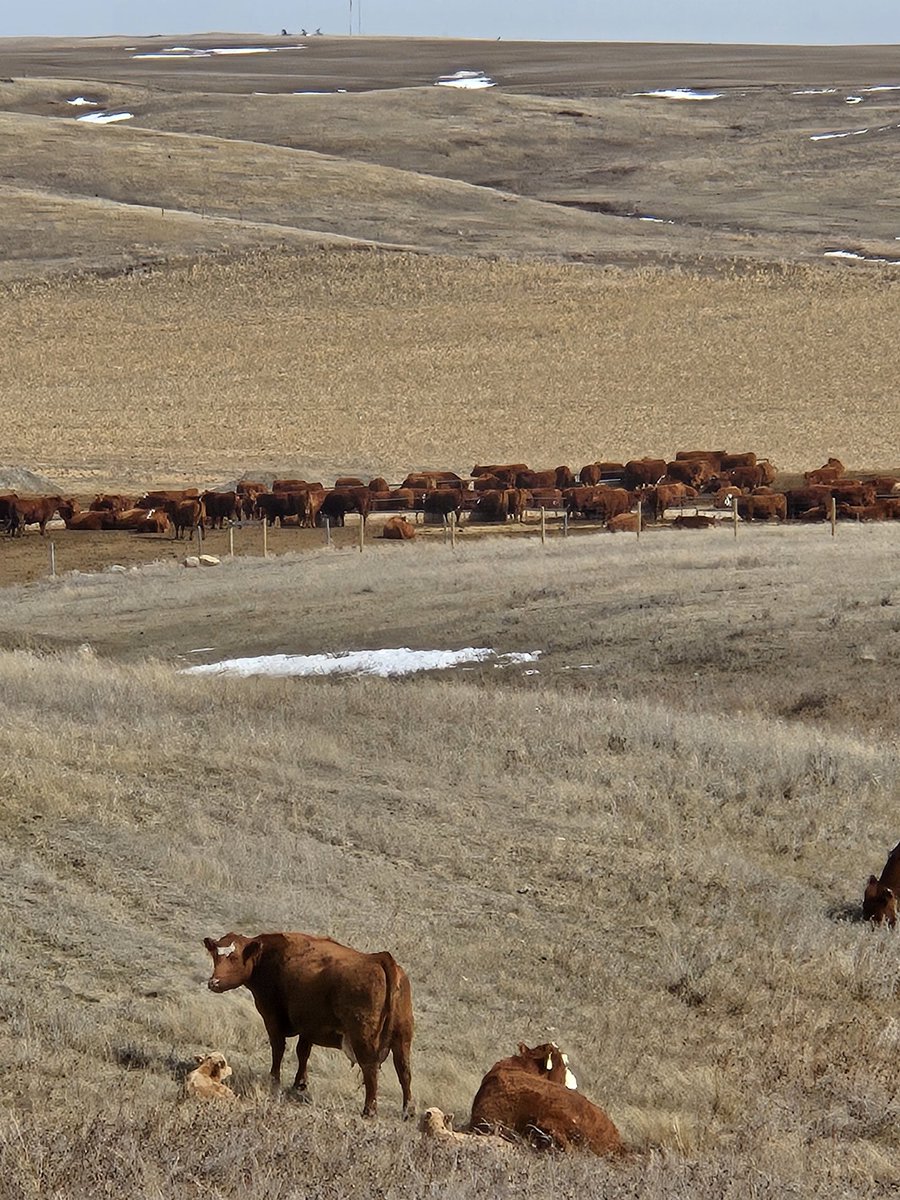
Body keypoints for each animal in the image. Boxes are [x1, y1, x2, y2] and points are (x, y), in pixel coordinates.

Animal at [203, 931, 413, 1118]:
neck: (268, 956)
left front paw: (274, 1080)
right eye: (215, 956)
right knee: (404, 1071)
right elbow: (303, 1052)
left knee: (370, 1069)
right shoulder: (309, 1026)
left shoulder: (272, 1018)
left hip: (363, 1038)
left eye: (235, 957)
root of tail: (380, 959)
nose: (214, 982)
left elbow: (278, 1049)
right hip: (402, 1039)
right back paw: (407, 1111)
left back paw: (369, 1110)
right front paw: (300, 1084)